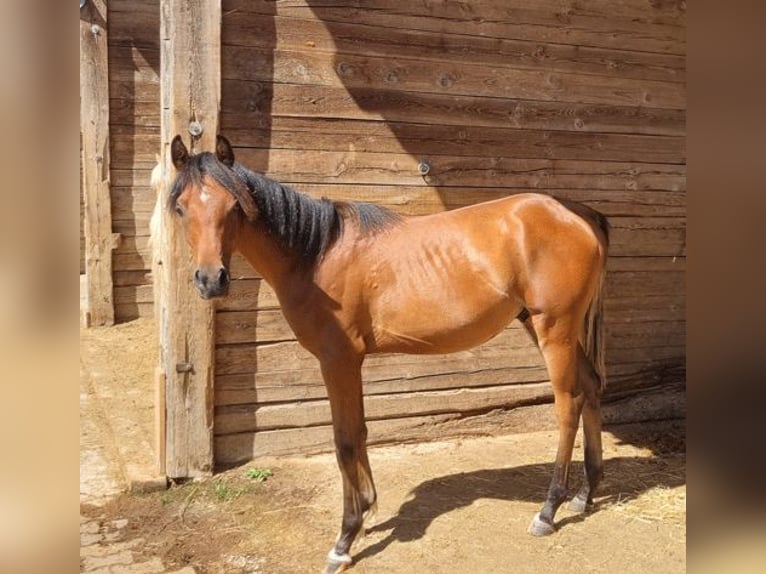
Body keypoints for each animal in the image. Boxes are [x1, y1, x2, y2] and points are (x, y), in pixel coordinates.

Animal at [170, 136, 612, 574]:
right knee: (591, 388)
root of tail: (576, 214)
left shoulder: (338, 360)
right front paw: (367, 510)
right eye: (181, 207)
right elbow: (361, 431)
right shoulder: (350, 363)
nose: (211, 280)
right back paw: (585, 494)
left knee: (568, 404)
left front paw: (345, 538)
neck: (316, 254)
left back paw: (548, 510)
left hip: (554, 329)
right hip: (547, 328)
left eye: (233, 206)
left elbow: (345, 440)